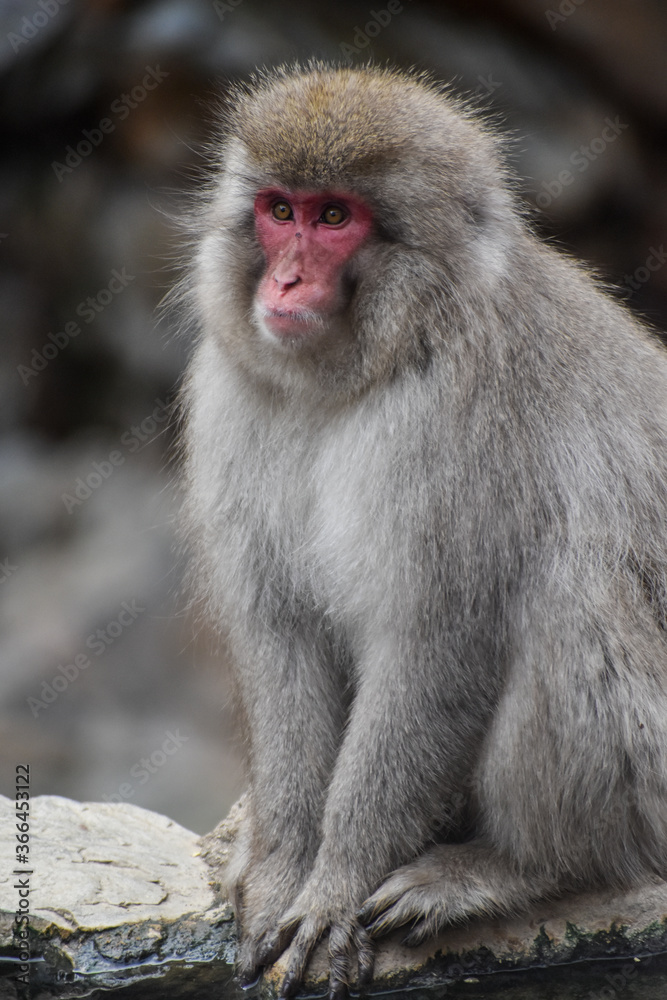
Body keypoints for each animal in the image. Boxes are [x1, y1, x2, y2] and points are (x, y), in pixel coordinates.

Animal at [177, 64, 667, 1000]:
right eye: (280, 209)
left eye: (336, 218)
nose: (281, 285)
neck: (372, 362)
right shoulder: (235, 395)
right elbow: (279, 627)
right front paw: (283, 865)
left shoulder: (458, 425)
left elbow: (437, 640)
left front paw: (336, 882)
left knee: (571, 594)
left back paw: (526, 867)